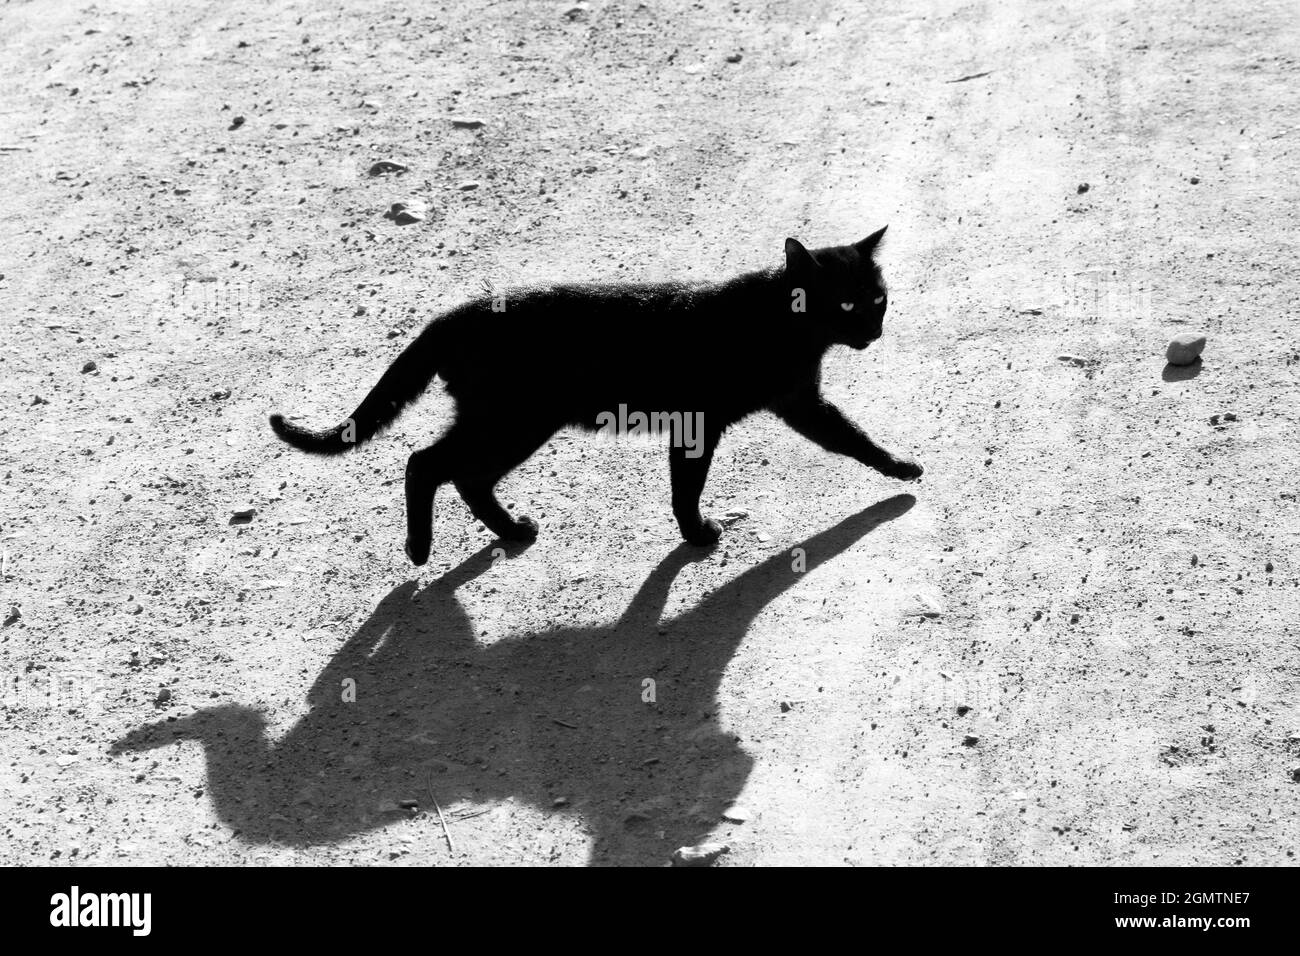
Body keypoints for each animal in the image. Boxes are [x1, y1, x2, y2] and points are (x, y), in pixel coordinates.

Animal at [271, 227, 925, 564]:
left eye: (878, 300)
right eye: (847, 303)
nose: (874, 331)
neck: (780, 324)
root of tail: (453, 314)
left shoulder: (794, 404)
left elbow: (850, 438)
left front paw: (898, 467)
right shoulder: (712, 420)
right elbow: (689, 485)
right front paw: (697, 534)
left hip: (513, 423)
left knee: (464, 475)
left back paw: (511, 532)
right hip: (512, 419)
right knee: (425, 463)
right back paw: (420, 547)